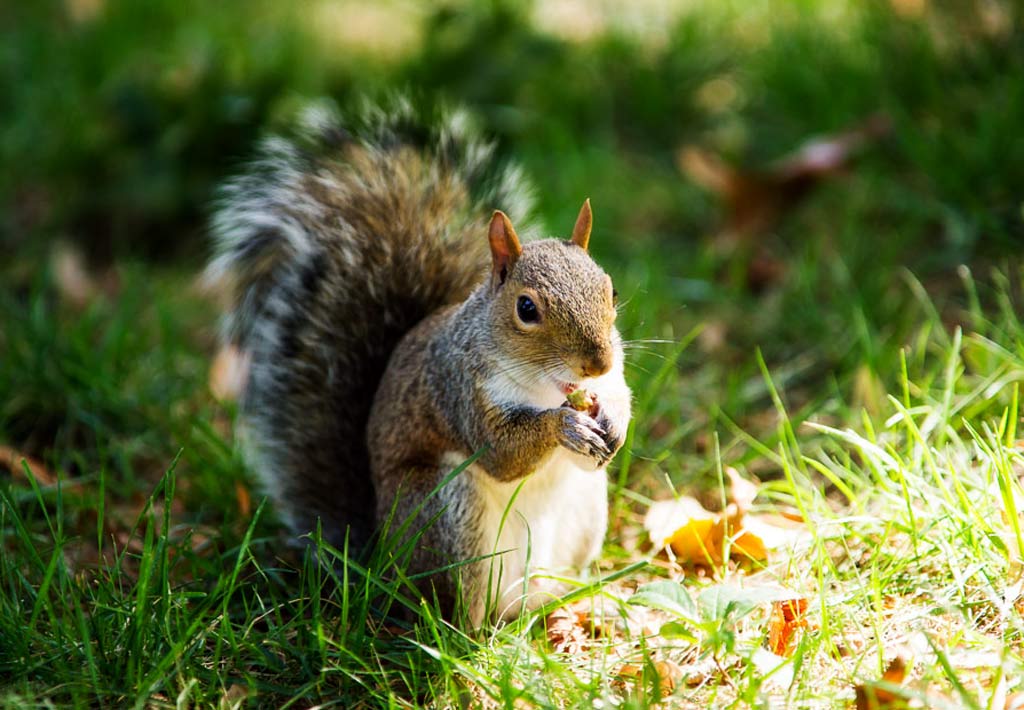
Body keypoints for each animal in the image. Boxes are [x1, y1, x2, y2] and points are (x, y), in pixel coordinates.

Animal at [207, 98, 630, 618]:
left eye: (610, 289)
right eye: (527, 309)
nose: (597, 364)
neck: (547, 388)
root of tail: (383, 567)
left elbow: (612, 412)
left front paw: (613, 421)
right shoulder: (458, 388)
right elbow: (502, 452)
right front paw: (562, 426)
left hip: (584, 514)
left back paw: (577, 602)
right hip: (446, 513)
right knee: (458, 609)